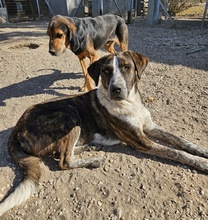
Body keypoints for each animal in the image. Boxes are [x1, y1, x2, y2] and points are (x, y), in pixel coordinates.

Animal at [0, 50, 208, 217]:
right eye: (106, 71)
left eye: (126, 67)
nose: (116, 89)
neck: (130, 103)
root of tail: (17, 126)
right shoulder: (141, 140)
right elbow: (177, 152)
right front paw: (202, 163)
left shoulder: (149, 126)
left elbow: (181, 140)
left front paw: (202, 151)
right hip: (69, 114)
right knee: (64, 160)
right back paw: (94, 160)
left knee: (61, 152)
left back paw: (92, 146)